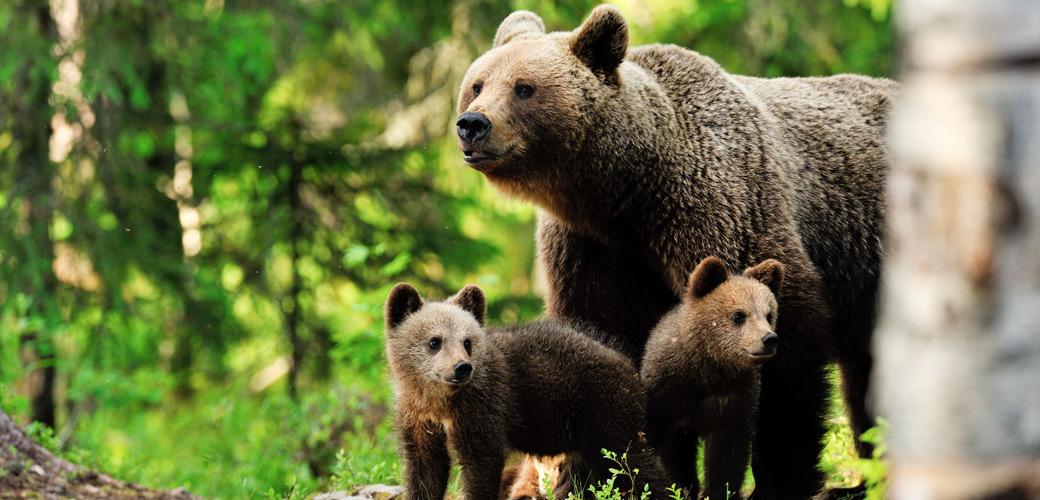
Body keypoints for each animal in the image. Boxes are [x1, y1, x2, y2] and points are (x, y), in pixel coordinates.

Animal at [455, 5, 894, 496]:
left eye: (524, 88)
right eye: (478, 83)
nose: (472, 124)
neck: (625, 196)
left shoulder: (720, 210)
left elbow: (786, 356)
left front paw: (783, 478)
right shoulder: (592, 252)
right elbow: (603, 347)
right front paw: (598, 477)